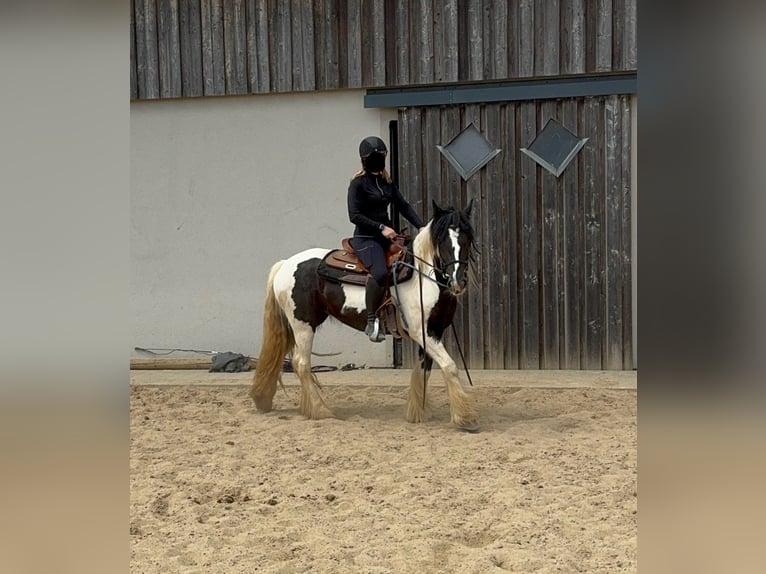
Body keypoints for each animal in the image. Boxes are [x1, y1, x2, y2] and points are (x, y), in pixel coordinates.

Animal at [250, 201, 480, 432]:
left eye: (467, 238)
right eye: (442, 240)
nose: (458, 282)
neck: (421, 277)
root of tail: (285, 264)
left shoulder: (435, 331)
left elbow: (425, 370)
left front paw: (418, 413)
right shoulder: (421, 331)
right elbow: (450, 366)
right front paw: (465, 418)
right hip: (303, 326)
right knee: (301, 363)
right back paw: (320, 410)